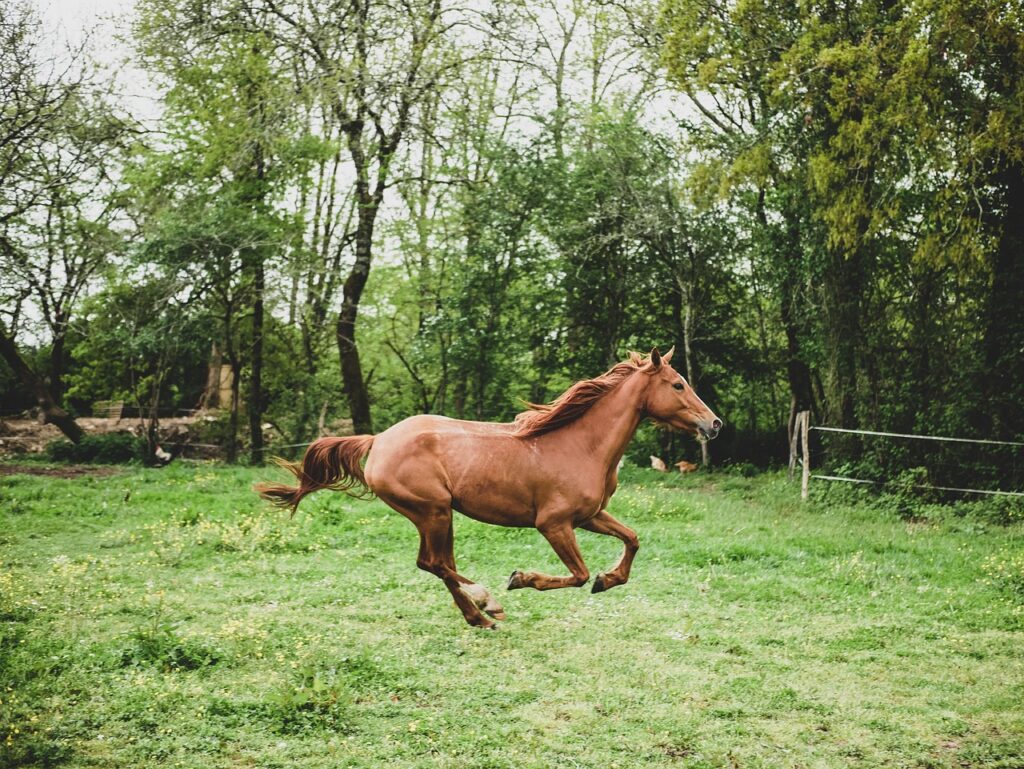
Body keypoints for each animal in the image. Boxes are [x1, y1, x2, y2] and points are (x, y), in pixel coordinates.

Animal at [256, 347, 721, 628]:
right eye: (678, 384)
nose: (714, 424)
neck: (580, 445)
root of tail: (379, 440)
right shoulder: (554, 524)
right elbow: (577, 574)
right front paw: (523, 578)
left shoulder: (589, 516)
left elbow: (633, 539)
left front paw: (609, 580)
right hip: (433, 511)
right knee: (434, 563)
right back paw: (487, 602)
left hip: (438, 516)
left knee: (437, 564)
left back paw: (478, 615)